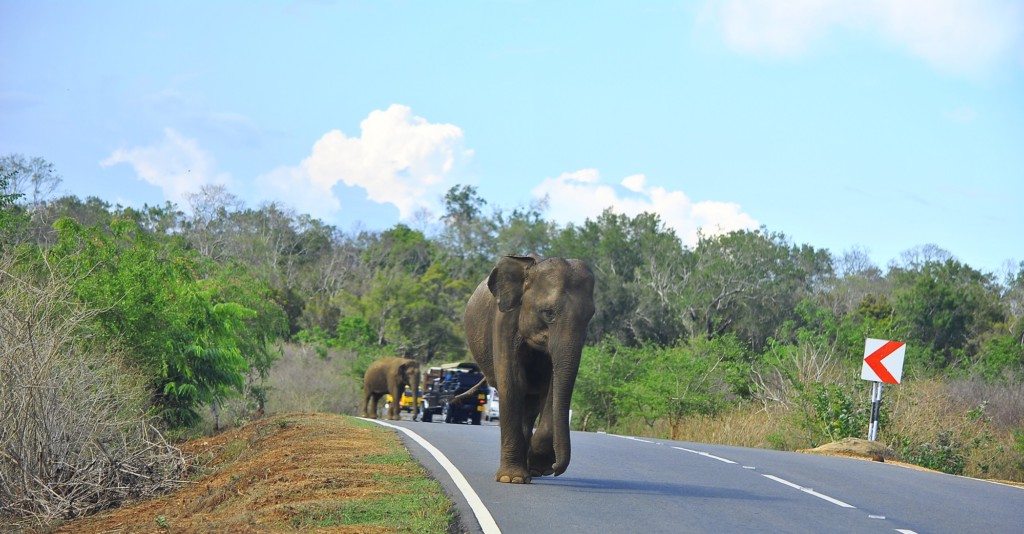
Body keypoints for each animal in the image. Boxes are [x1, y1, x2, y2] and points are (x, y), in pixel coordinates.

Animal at [462, 254, 598, 483]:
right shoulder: (504, 321)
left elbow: (551, 387)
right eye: (548, 312)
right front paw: (511, 479)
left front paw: (539, 465)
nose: (556, 468)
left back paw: (530, 469)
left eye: (590, 316)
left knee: (531, 403)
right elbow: (513, 383)